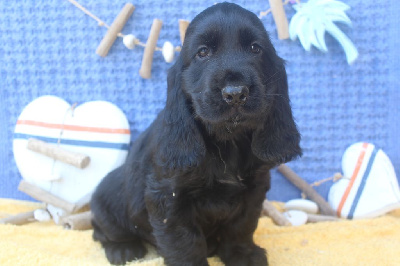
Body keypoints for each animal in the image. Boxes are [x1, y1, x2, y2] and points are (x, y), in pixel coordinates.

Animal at [91, 2, 300, 266]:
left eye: (255, 48)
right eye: (203, 52)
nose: (235, 93)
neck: (227, 141)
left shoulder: (254, 189)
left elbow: (241, 226)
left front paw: (242, 255)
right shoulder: (169, 197)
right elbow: (184, 241)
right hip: (106, 195)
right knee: (102, 229)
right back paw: (123, 249)